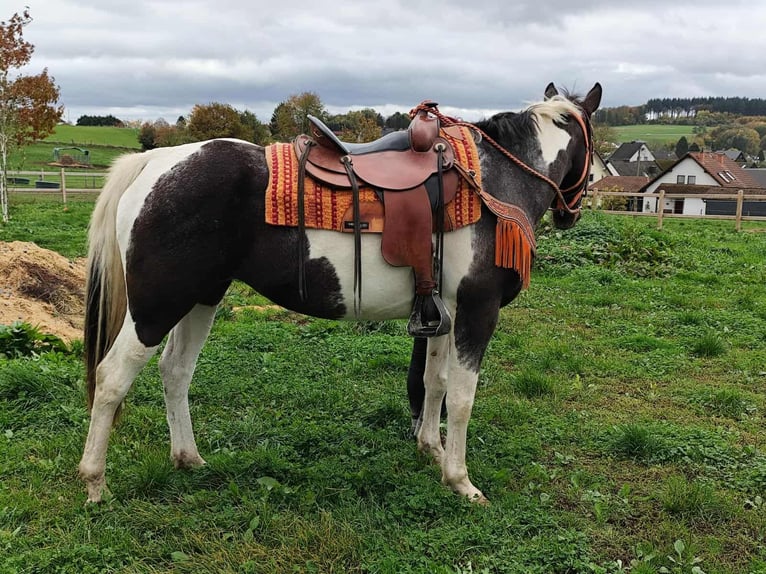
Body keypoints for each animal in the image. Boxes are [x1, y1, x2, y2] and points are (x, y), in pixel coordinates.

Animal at [78, 82, 601, 504]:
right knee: (112, 378)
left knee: (175, 371)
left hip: (201, 298)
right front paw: (460, 481)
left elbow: (434, 384)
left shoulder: (444, 313)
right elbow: (462, 398)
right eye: (592, 144)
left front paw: (431, 451)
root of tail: (154, 161)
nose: (575, 208)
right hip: (156, 306)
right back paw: (96, 483)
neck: (493, 181)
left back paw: (188, 458)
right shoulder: (478, 309)